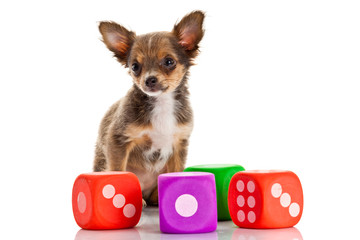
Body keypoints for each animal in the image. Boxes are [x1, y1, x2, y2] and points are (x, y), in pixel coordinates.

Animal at [93, 11, 205, 205]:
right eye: (135, 67)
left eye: (169, 61)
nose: (149, 80)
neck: (162, 103)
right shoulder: (118, 141)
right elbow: (118, 169)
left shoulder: (179, 144)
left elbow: (177, 173)